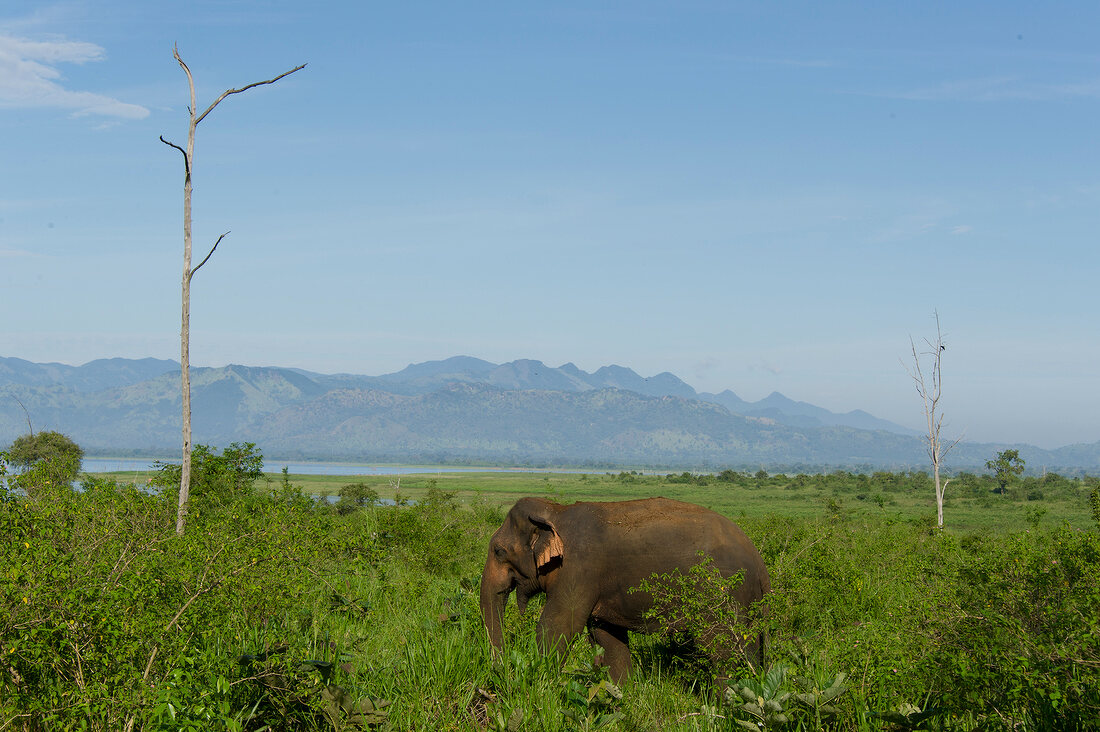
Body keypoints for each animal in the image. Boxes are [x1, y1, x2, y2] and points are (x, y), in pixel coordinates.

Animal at [477, 497, 770, 678]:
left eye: (499, 551)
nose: (501, 670)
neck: (556, 510)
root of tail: (760, 563)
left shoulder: (579, 568)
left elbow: (559, 625)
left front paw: (538, 683)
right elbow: (607, 636)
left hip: (722, 595)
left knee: (723, 650)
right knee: (749, 650)